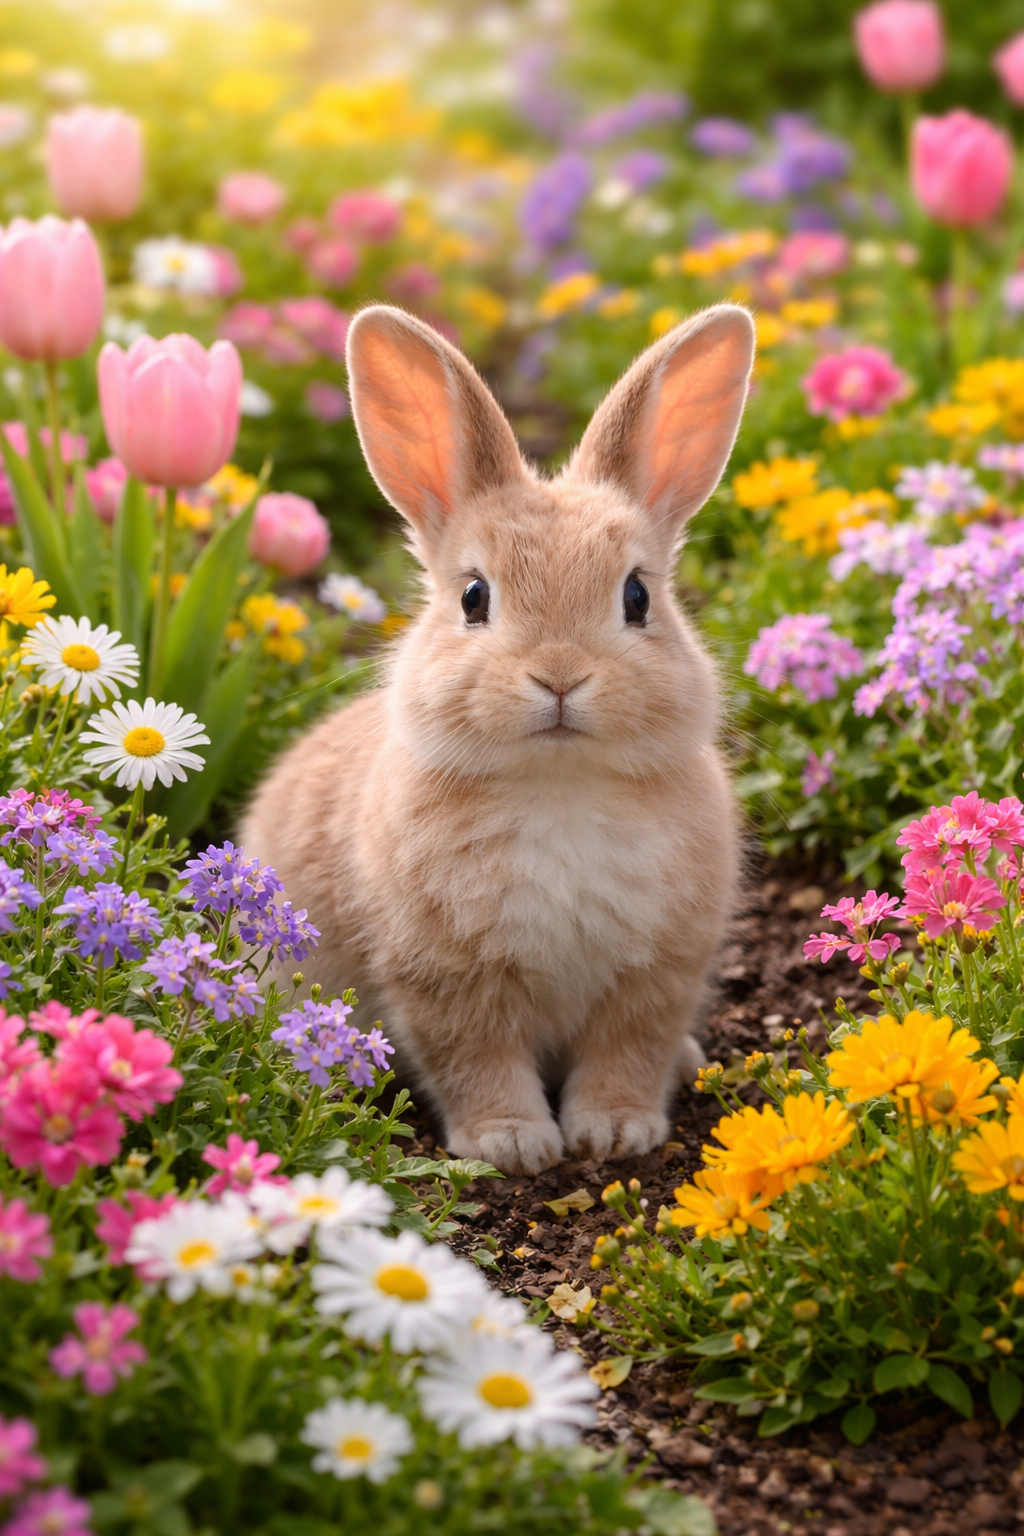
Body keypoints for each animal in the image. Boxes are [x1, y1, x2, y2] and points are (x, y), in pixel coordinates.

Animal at [239, 300, 754, 1176]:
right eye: (474, 597)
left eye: (638, 597)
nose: (559, 677)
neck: (558, 782)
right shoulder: (446, 977)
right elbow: (475, 1056)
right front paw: (511, 1145)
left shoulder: (656, 971)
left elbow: (629, 1048)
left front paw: (615, 1131)